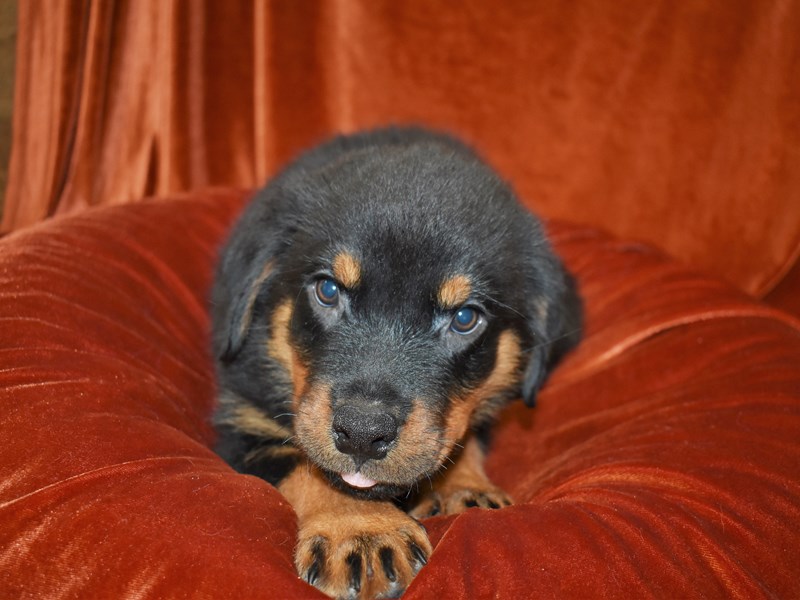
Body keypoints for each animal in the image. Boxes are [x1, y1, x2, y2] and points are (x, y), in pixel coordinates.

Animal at [209, 124, 580, 596]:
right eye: (327, 290)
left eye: (464, 318)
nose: (362, 434)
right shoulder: (242, 424)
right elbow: (310, 467)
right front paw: (362, 531)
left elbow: (463, 440)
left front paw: (464, 488)